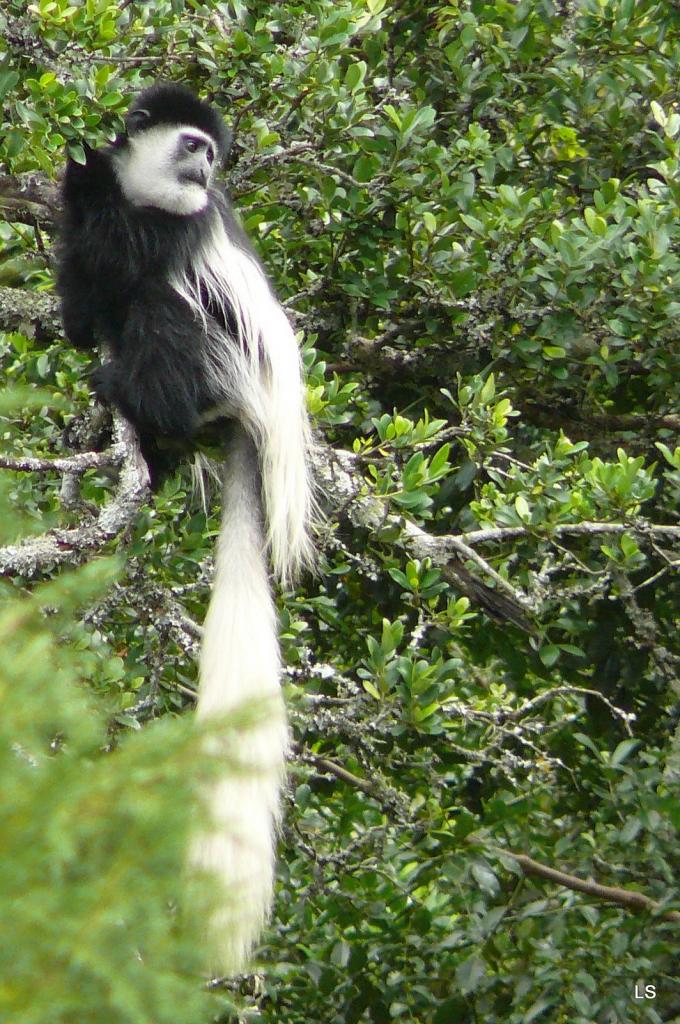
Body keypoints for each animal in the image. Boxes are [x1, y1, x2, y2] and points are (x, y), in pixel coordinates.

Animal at [57, 83, 315, 970]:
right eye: (191, 144)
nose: (205, 166)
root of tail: (251, 422)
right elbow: (82, 295)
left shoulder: (176, 227)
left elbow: (126, 261)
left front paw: (83, 171)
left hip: (216, 368)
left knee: (161, 306)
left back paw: (138, 400)